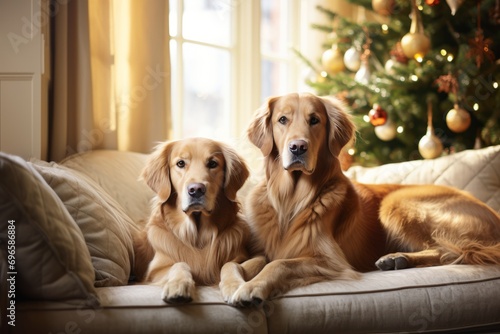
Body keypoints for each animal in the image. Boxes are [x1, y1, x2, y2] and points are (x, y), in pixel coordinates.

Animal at [140, 137, 250, 304]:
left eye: (213, 163)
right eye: (180, 163)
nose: (196, 190)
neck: (198, 236)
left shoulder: (244, 258)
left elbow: (230, 264)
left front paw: (235, 285)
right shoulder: (153, 272)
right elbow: (179, 263)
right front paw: (177, 285)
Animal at [221, 92, 500, 306]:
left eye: (314, 120)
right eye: (282, 119)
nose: (298, 147)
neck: (290, 201)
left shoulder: (331, 261)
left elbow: (280, 264)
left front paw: (252, 287)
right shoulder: (262, 250)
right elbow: (235, 263)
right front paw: (232, 284)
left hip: (396, 202)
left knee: (450, 250)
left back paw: (398, 258)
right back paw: (396, 260)